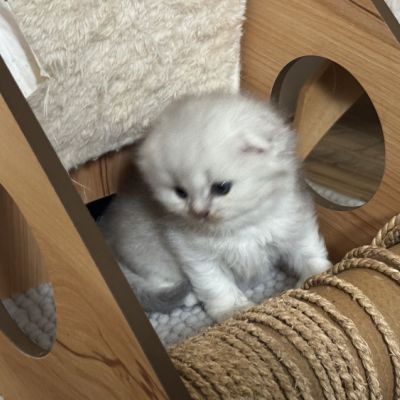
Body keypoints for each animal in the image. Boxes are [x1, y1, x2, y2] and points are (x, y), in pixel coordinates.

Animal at [99, 92, 331, 322]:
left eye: (221, 188)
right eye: (180, 192)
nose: (198, 212)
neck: (240, 228)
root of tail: (107, 233)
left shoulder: (292, 222)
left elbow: (307, 250)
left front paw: (317, 275)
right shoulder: (197, 256)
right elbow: (216, 285)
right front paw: (233, 310)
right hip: (147, 253)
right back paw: (187, 296)